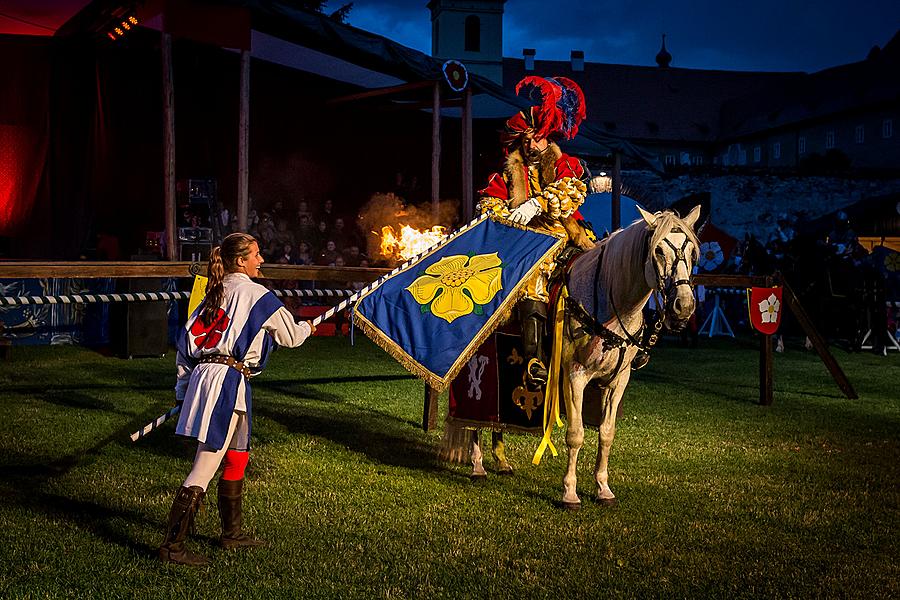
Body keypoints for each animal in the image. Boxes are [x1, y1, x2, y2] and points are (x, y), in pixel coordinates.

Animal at [556, 206, 704, 506]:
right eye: (658, 250)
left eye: (692, 252)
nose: (683, 306)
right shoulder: (574, 374)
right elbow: (576, 434)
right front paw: (570, 492)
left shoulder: (618, 381)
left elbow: (606, 433)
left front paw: (602, 487)